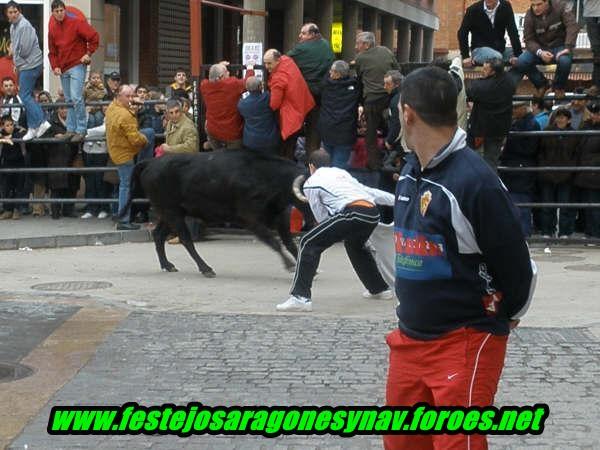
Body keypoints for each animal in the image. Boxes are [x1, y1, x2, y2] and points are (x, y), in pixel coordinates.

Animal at [121, 151, 310, 276]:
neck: (266, 177)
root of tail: (151, 162)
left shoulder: (280, 217)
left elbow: (290, 243)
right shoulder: (250, 219)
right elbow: (274, 241)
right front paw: (290, 265)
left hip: (170, 213)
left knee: (158, 235)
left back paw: (168, 265)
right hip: (172, 212)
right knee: (185, 239)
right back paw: (206, 269)